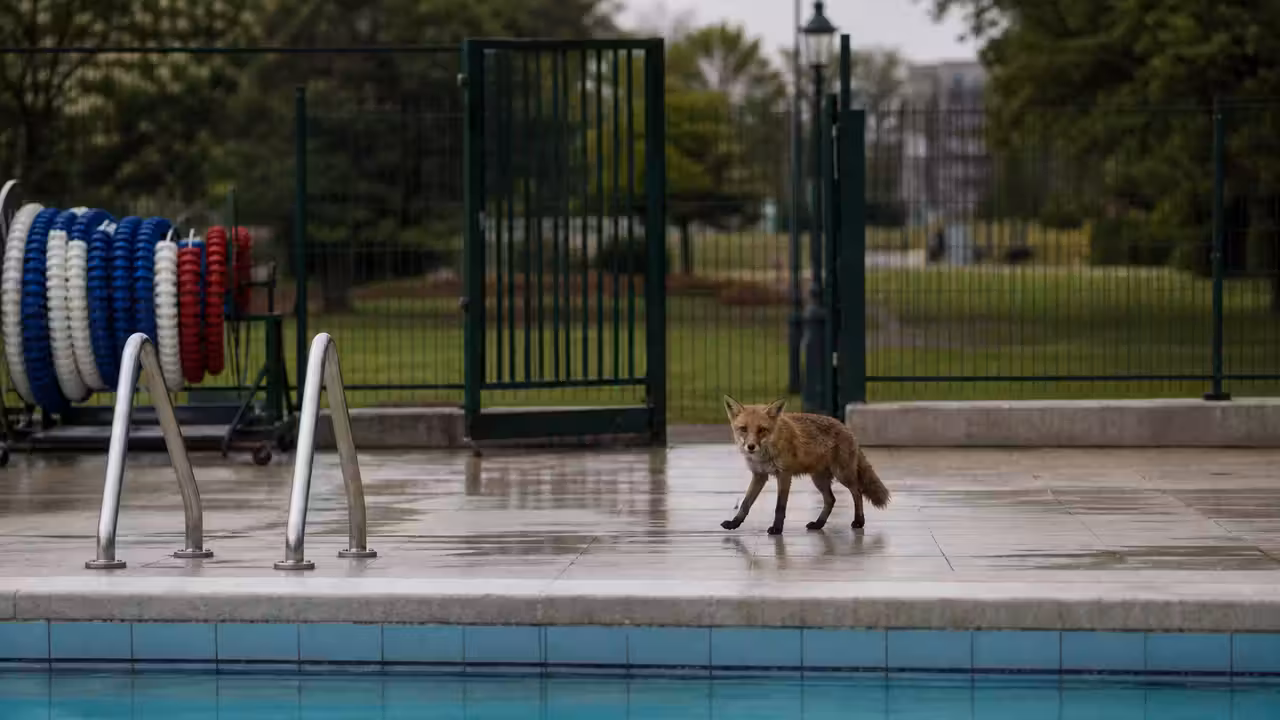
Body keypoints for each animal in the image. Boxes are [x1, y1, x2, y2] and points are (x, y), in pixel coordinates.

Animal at [721, 395, 891, 535]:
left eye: (762, 429)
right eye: (743, 429)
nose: (750, 446)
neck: (765, 454)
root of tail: (846, 428)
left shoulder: (784, 474)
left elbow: (780, 507)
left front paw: (777, 529)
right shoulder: (759, 475)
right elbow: (745, 503)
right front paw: (734, 523)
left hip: (843, 475)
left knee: (857, 492)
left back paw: (859, 521)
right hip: (819, 479)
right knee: (831, 500)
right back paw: (819, 524)